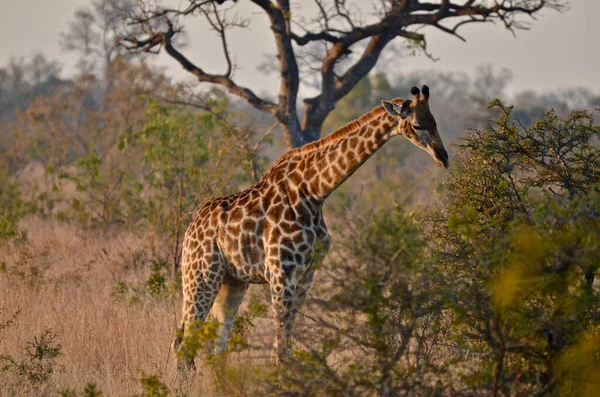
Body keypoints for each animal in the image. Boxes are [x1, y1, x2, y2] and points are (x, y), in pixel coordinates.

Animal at [171, 85, 448, 370]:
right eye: (417, 124)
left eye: (434, 121)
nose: (443, 157)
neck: (314, 192)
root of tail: (191, 227)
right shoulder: (281, 273)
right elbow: (280, 348)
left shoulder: (306, 274)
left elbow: (287, 344)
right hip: (201, 276)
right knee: (184, 341)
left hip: (232, 281)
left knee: (216, 345)